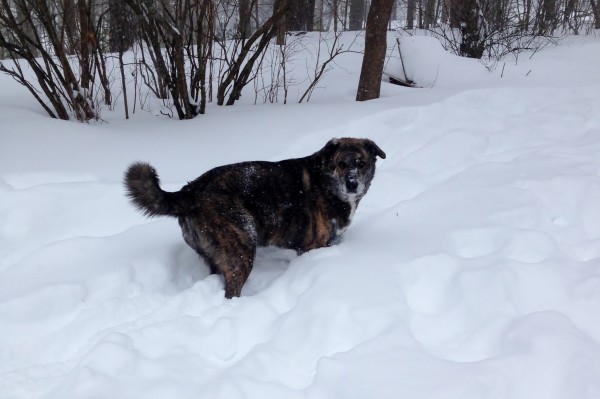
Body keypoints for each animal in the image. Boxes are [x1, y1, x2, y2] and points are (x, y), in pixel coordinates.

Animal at [124, 139, 386, 298]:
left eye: (361, 163)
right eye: (341, 163)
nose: (352, 184)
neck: (326, 183)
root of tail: (190, 191)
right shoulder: (314, 246)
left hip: (217, 256)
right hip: (241, 248)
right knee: (231, 290)